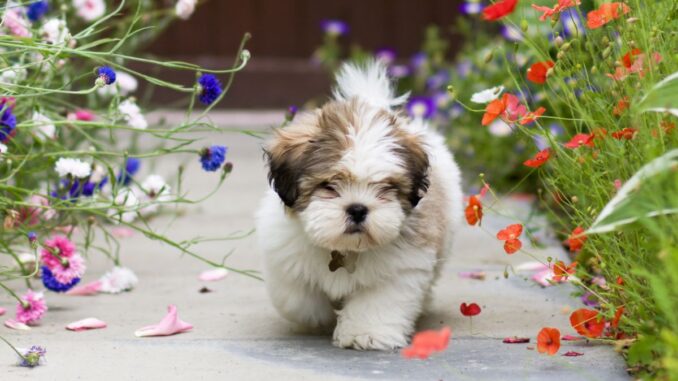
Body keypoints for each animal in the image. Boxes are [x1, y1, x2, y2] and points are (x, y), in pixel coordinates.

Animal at [258, 60, 464, 348]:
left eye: (386, 187)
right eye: (329, 185)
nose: (357, 209)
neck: (345, 249)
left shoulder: (401, 267)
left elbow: (379, 301)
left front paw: (365, 333)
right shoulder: (285, 255)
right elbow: (298, 298)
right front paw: (318, 318)